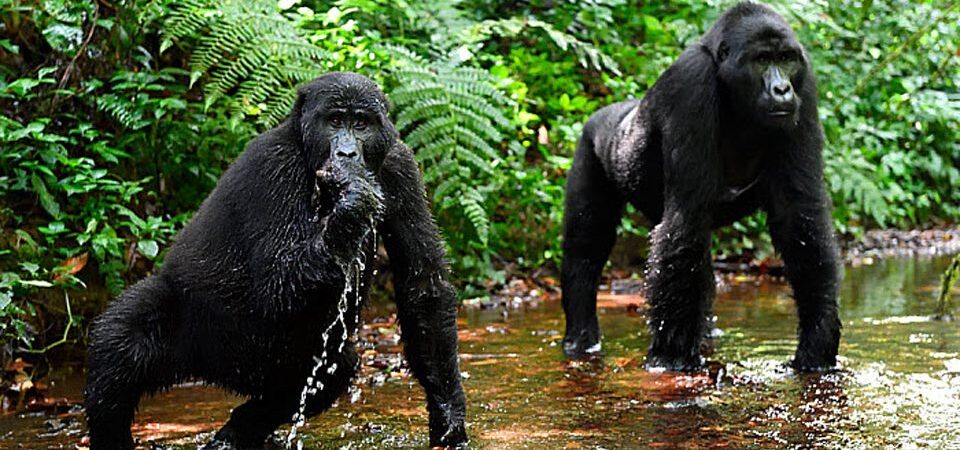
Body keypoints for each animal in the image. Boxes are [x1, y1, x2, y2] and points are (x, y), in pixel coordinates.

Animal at [84, 72, 466, 448]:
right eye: (335, 121)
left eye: (360, 123)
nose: (347, 152)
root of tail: (214, 372)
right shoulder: (273, 165)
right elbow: (277, 283)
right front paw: (353, 203)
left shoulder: (401, 167)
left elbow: (423, 286)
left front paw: (448, 409)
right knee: (124, 336)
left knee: (332, 370)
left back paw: (239, 431)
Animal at [564, 2, 840, 372]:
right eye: (762, 60)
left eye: (786, 59)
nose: (782, 90)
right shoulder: (691, 84)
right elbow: (686, 221)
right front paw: (672, 356)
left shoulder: (805, 89)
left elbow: (799, 214)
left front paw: (817, 342)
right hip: (593, 142)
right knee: (586, 246)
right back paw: (581, 339)